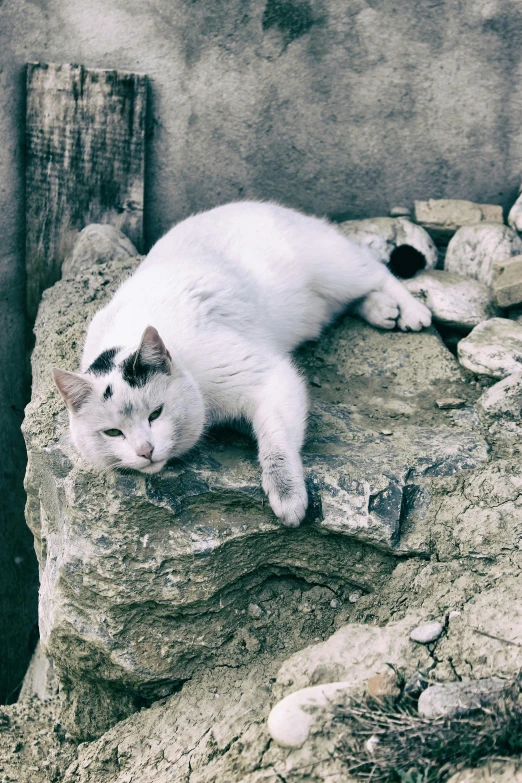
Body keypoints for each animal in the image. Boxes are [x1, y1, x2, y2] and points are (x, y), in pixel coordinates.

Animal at [52, 205, 428, 528]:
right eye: (113, 433)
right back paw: (383, 310)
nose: (145, 451)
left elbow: (276, 443)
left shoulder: (271, 377)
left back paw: (411, 311)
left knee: (379, 272)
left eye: (156, 414)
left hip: (335, 268)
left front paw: (287, 496)